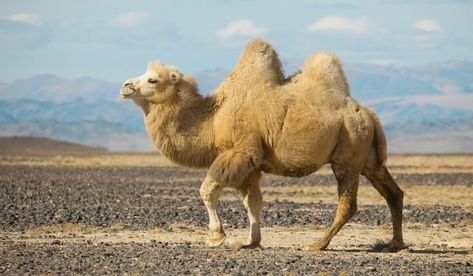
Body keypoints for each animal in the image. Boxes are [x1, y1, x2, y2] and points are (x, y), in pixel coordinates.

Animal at [120, 39, 404, 252]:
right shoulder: (254, 163)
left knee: (348, 203)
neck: (213, 118)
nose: (125, 86)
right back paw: (395, 244)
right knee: (393, 192)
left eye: (153, 80)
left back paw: (317, 244)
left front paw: (216, 237)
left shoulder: (240, 151)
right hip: (368, 159)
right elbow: (252, 201)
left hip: (347, 155)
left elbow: (207, 190)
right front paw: (251, 241)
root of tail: (369, 114)